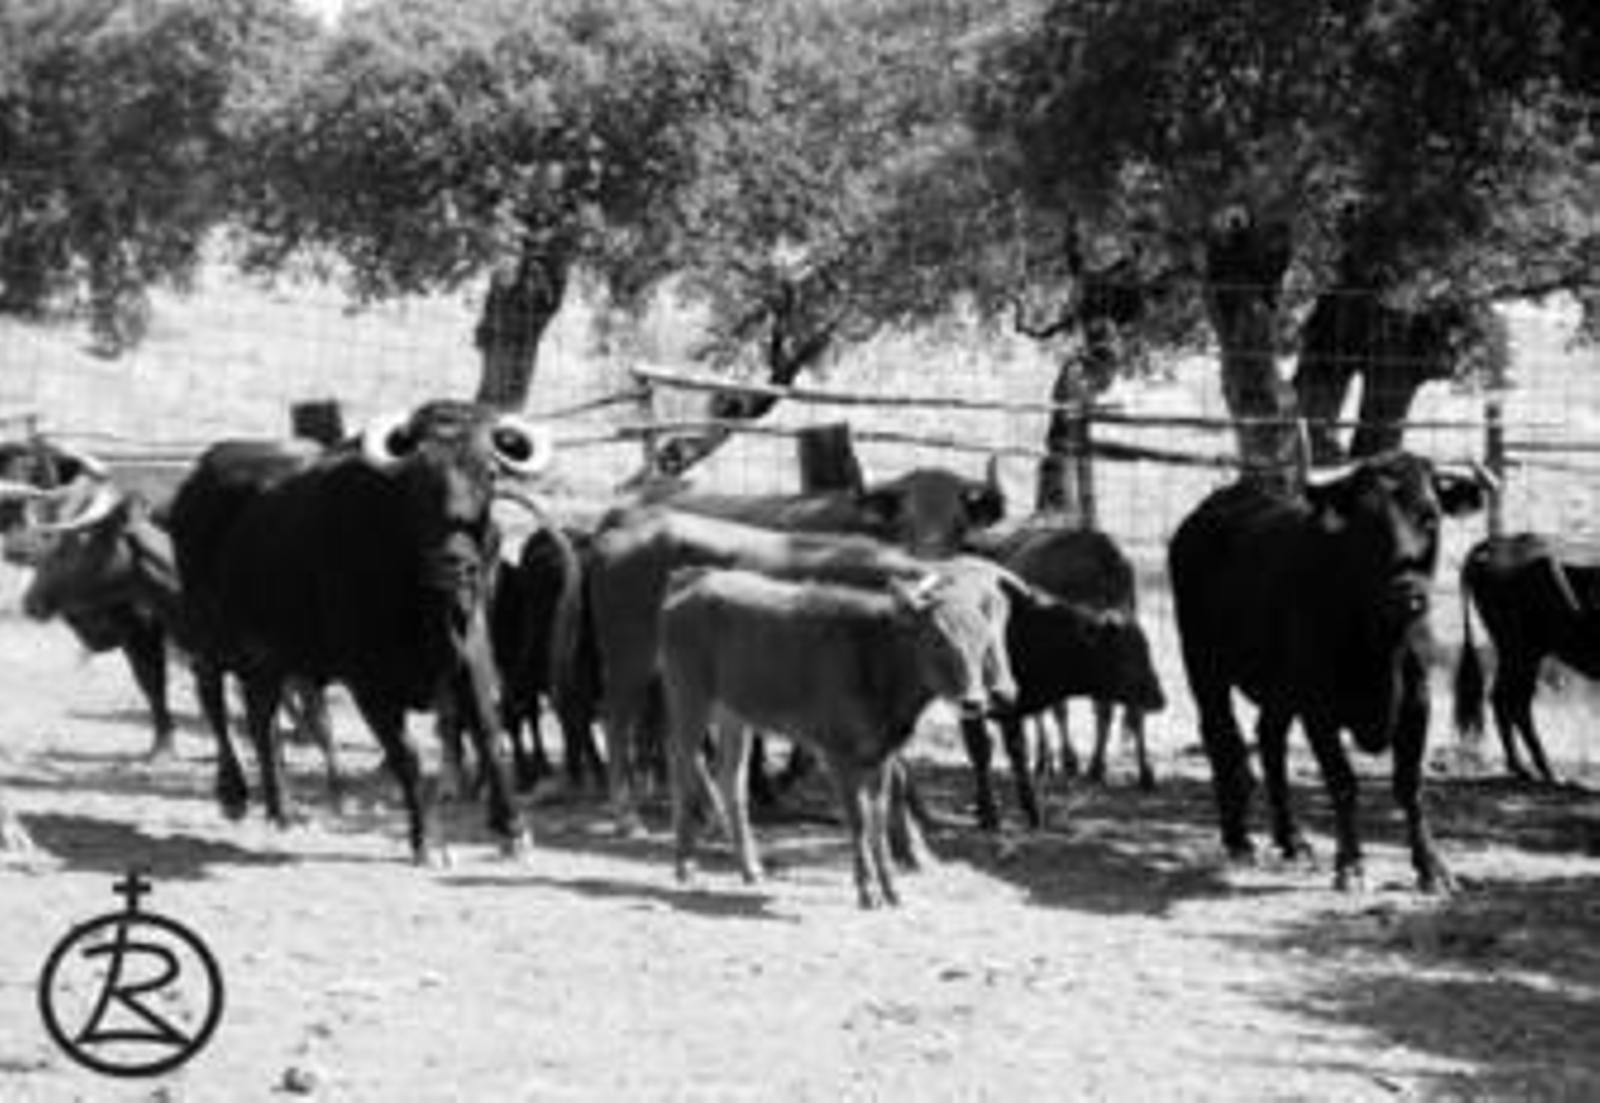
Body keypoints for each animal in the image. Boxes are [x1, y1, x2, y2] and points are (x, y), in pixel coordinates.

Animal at [168, 402, 556, 865]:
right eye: (417, 478)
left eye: (490, 473)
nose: (457, 564)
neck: (424, 605)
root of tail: (198, 477)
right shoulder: (368, 682)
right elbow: (406, 755)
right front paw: (429, 842)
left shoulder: (472, 658)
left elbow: (490, 735)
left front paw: (513, 830)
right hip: (207, 634)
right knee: (211, 697)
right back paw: (233, 794)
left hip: (268, 654)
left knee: (261, 716)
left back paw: (284, 810)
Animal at [583, 505, 1020, 832]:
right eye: (942, 637)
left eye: (997, 627)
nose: (1003, 692)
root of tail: (624, 524)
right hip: (629, 660)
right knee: (617, 723)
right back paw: (628, 816)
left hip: (671, 675)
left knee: (668, 732)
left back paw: (711, 812)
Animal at [660, 566, 1017, 908]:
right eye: (938, 638)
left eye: (984, 641)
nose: (974, 701)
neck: (878, 667)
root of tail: (677, 596)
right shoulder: (837, 749)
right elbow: (857, 820)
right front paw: (868, 893)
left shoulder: (882, 753)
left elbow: (878, 819)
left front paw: (892, 892)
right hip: (688, 692)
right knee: (679, 761)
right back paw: (684, 867)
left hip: (734, 712)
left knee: (729, 777)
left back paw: (752, 870)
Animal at [1168, 452, 1491, 892]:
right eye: (1368, 524)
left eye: (1430, 517)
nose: (1409, 592)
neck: (1379, 646)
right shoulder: (1318, 707)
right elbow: (1343, 782)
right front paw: (1351, 865)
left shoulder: (1417, 703)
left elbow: (1409, 786)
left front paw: (1432, 867)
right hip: (1203, 663)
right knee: (1221, 736)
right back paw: (1238, 840)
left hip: (1281, 687)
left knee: (1269, 738)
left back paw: (1292, 839)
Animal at [1454, 533, 1600, 784]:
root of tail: (1496, 543)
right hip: (1522, 652)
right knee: (1510, 700)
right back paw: (1537, 770)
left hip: (1521, 654)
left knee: (1511, 700)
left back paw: (1528, 768)